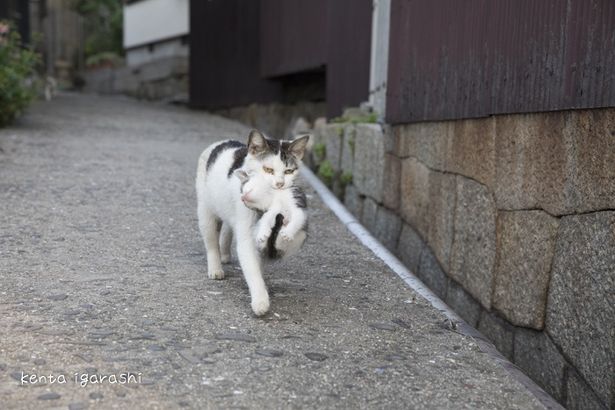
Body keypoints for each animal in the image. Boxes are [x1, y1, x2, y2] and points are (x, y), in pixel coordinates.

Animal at [196, 130, 310, 316]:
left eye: (288, 171)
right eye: (268, 169)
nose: (280, 184)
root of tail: (222, 142)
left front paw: (281, 237)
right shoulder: (246, 233)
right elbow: (251, 265)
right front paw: (260, 300)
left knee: (228, 228)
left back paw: (225, 254)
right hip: (206, 209)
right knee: (211, 240)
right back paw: (216, 267)